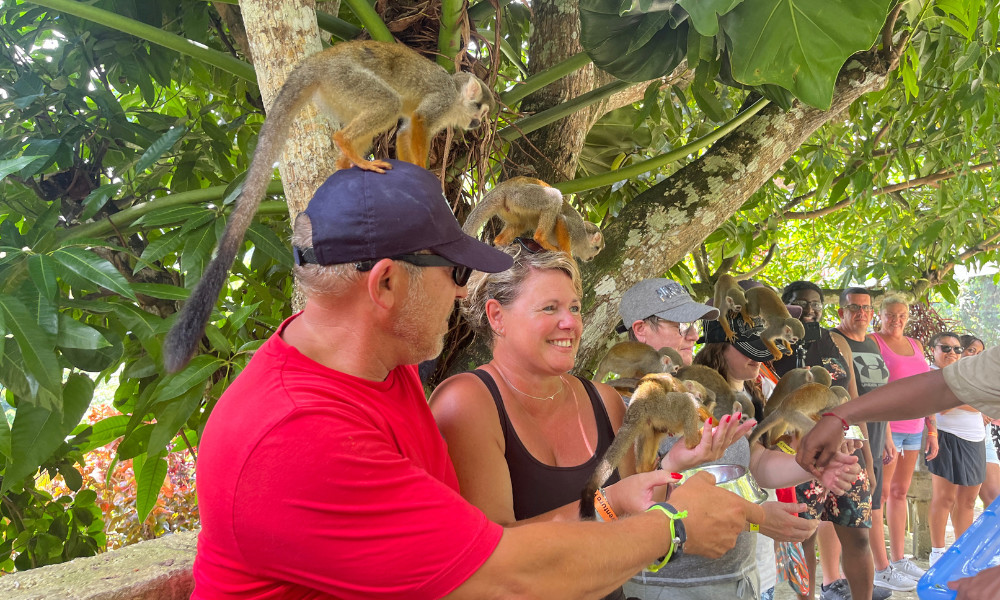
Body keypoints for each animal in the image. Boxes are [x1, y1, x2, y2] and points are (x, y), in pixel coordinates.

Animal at [162, 41, 494, 373]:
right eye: (481, 110)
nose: (479, 123)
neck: (455, 96)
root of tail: (320, 61)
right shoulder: (442, 100)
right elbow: (420, 121)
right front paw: (427, 174)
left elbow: (404, 129)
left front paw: (416, 171)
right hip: (345, 79)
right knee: (388, 102)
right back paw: (347, 146)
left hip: (337, 92)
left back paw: (345, 164)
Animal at [461, 177, 604, 261]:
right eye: (597, 249)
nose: (591, 258)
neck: (582, 240)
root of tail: (504, 186)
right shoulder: (577, 229)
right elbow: (562, 219)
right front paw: (567, 255)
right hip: (521, 196)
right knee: (554, 197)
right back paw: (540, 239)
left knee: (519, 224)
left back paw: (501, 242)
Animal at [579, 374, 710, 519]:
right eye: (700, 395)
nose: (701, 399)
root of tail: (638, 406)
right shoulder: (678, 388)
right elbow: (671, 382)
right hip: (664, 408)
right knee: (686, 400)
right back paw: (693, 441)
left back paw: (644, 468)